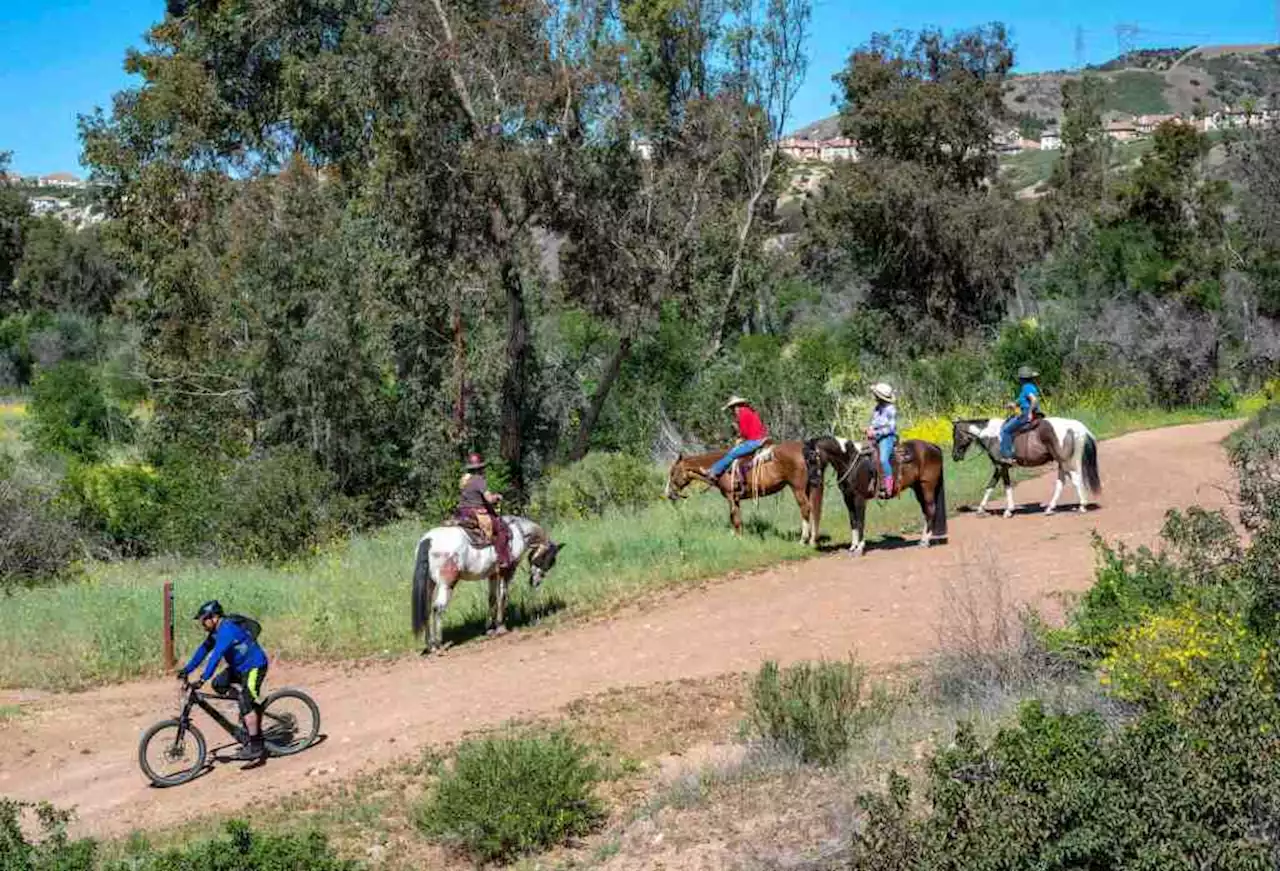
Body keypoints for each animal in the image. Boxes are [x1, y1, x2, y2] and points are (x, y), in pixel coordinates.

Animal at [412, 517, 563, 653]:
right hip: (446, 584)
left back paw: (430, 645)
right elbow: (502, 596)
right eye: (548, 560)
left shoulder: (493, 575)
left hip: (430, 583)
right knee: (438, 608)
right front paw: (501, 627)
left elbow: (492, 599)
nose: (535, 582)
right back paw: (438, 645)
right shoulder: (506, 571)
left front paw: (489, 628)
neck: (518, 533)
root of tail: (429, 540)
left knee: (426, 609)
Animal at [665, 438, 824, 548]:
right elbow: (736, 517)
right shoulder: (735, 498)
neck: (721, 469)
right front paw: (737, 535)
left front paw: (738, 537)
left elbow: (734, 517)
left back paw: (803, 540)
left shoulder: (731, 496)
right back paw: (812, 540)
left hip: (797, 488)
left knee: (805, 508)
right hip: (809, 487)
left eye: (673, 472)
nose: (668, 494)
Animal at [803, 438, 947, 553]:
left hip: (927, 486)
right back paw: (922, 540)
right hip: (918, 488)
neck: (851, 462)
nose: (813, 482)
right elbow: (853, 521)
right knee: (926, 511)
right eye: (805, 460)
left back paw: (925, 541)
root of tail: (932, 446)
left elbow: (860, 521)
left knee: (930, 510)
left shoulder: (859, 499)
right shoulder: (848, 498)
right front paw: (853, 546)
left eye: (812, 457)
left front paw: (860, 547)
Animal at [952, 417, 1100, 517]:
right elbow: (990, 487)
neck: (991, 435)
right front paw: (981, 509)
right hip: (1062, 463)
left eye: (955, 436)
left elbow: (1006, 486)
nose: (954, 456)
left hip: (1065, 461)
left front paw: (1008, 510)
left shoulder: (1001, 466)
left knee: (1075, 480)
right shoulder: (1000, 467)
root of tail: (1076, 427)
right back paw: (1050, 508)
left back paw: (1082, 506)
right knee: (1061, 482)